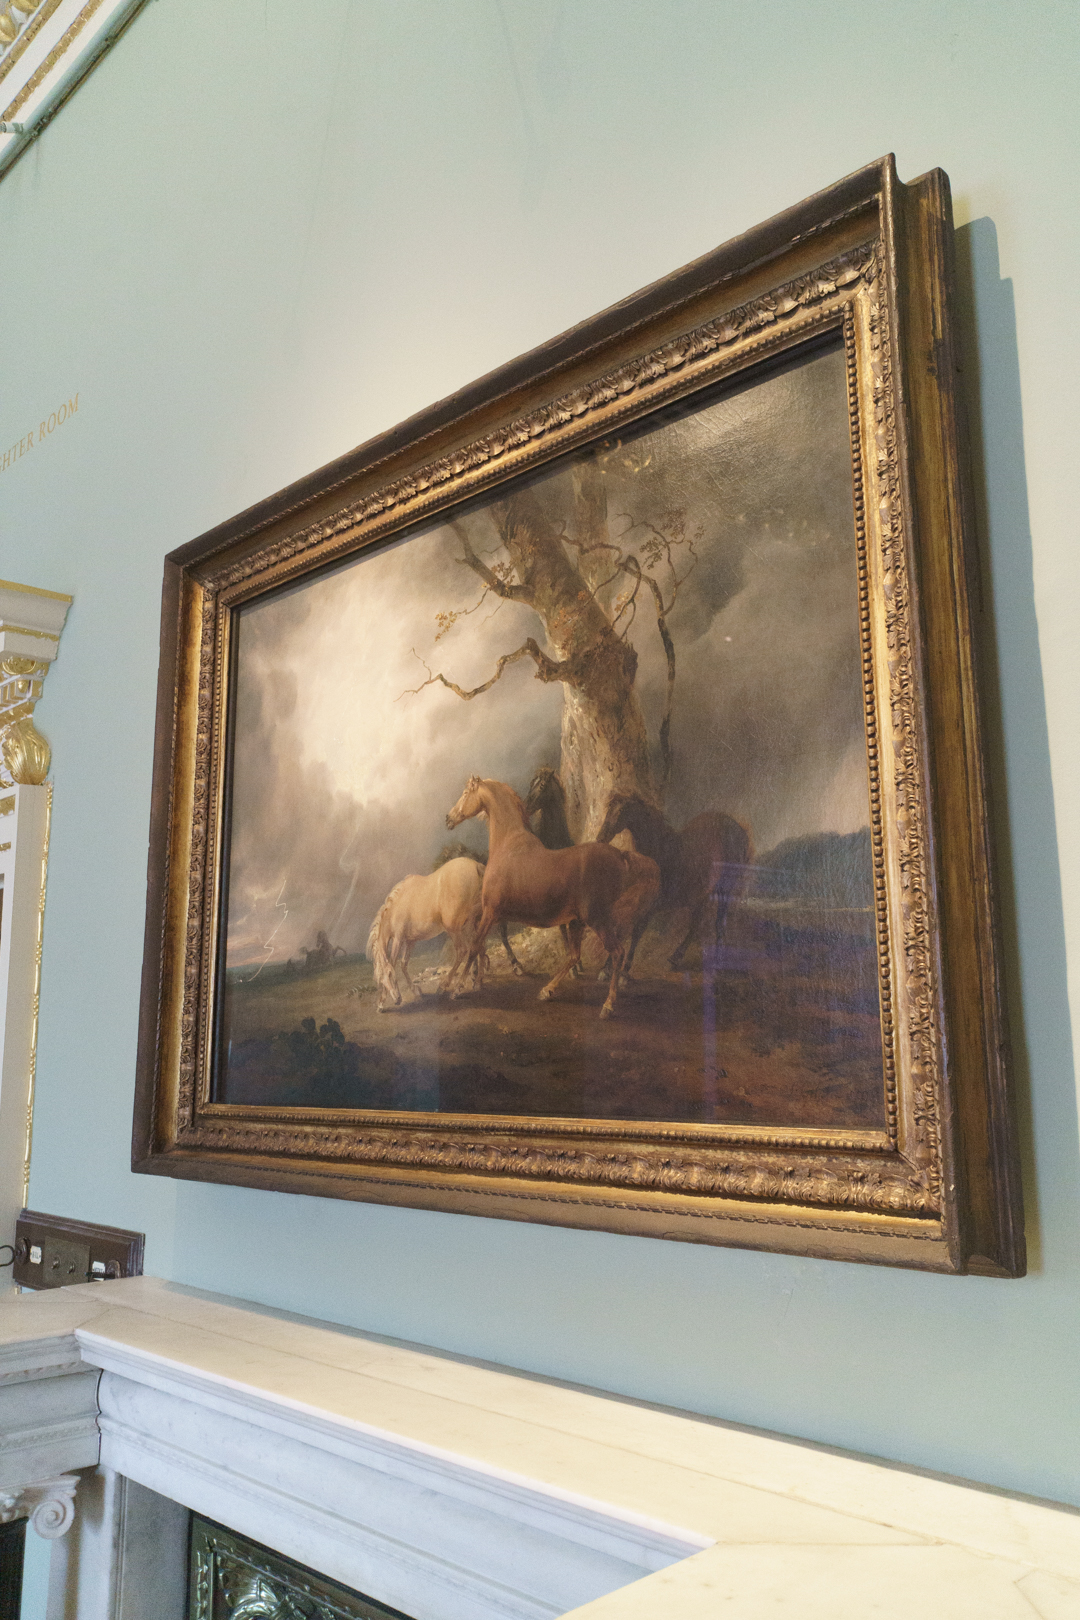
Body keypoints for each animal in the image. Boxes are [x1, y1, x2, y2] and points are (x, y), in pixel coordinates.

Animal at [366, 857, 486, 1012]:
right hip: (472, 923)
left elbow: (393, 962)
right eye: (379, 980)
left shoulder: (398, 939)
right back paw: (477, 982)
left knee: (463, 951)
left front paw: (382, 1002)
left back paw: (450, 988)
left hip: (455, 928)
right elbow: (404, 964)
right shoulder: (410, 941)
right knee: (478, 947)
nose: (397, 1000)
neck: (396, 908)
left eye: (389, 974)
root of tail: (476, 866)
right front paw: (417, 991)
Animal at [446, 775, 627, 1018]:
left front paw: (458, 988)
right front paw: (474, 980)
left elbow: (474, 946)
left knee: (617, 952)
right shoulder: (490, 911)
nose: (449, 818)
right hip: (579, 921)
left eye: (466, 793)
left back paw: (607, 1005)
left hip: (597, 919)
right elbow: (478, 939)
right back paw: (547, 990)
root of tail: (619, 856)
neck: (508, 845)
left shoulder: (491, 911)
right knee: (575, 955)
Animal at [596, 793, 752, 975]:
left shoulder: (651, 906)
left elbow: (636, 931)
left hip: (724, 889)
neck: (660, 851)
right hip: (702, 894)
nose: (600, 838)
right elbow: (621, 931)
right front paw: (606, 969)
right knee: (697, 924)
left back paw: (716, 962)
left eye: (621, 810)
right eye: (609, 808)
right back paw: (676, 958)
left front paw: (624, 971)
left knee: (719, 922)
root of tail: (739, 831)